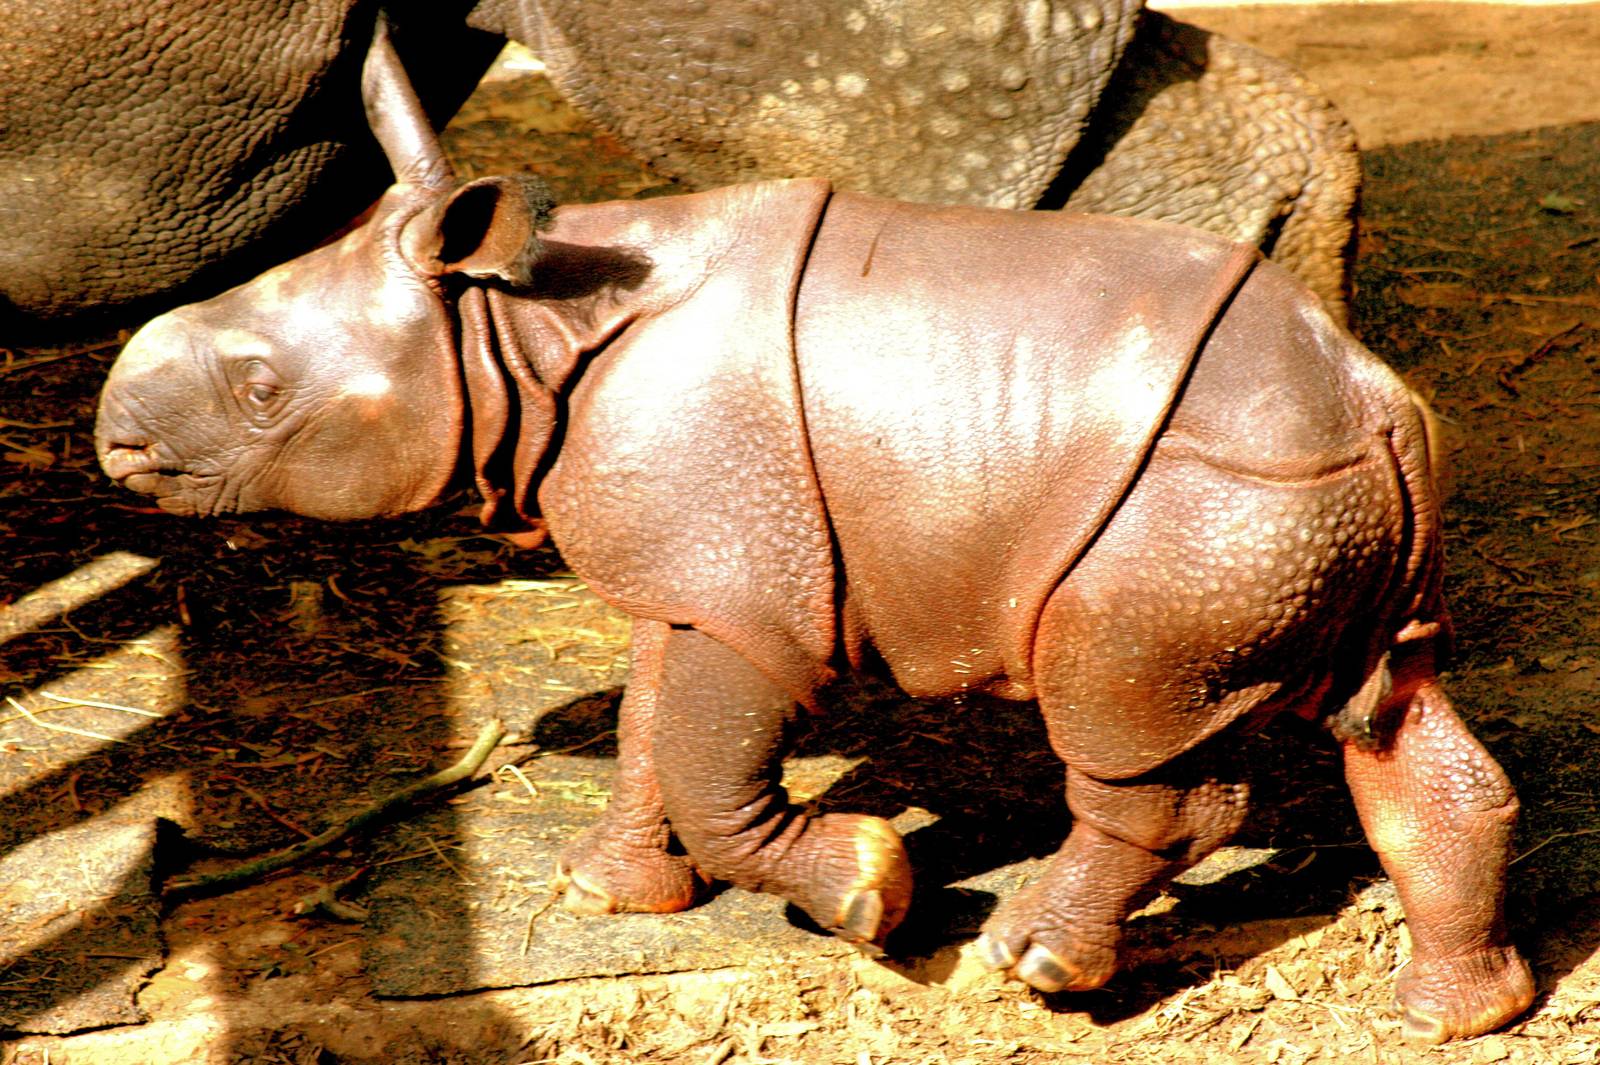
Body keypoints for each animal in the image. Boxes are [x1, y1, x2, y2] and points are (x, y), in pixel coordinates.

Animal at [93, 23, 1529, 1043]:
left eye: (260, 390)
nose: (118, 438)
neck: (514, 326)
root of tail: (1378, 407)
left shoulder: (755, 584)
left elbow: (709, 763)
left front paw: (869, 893)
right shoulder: (694, 565)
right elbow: (650, 730)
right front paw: (605, 891)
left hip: (1203, 504)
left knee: (1133, 731)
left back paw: (1028, 970)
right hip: (1306, 505)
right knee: (1390, 712)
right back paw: (1458, 1017)